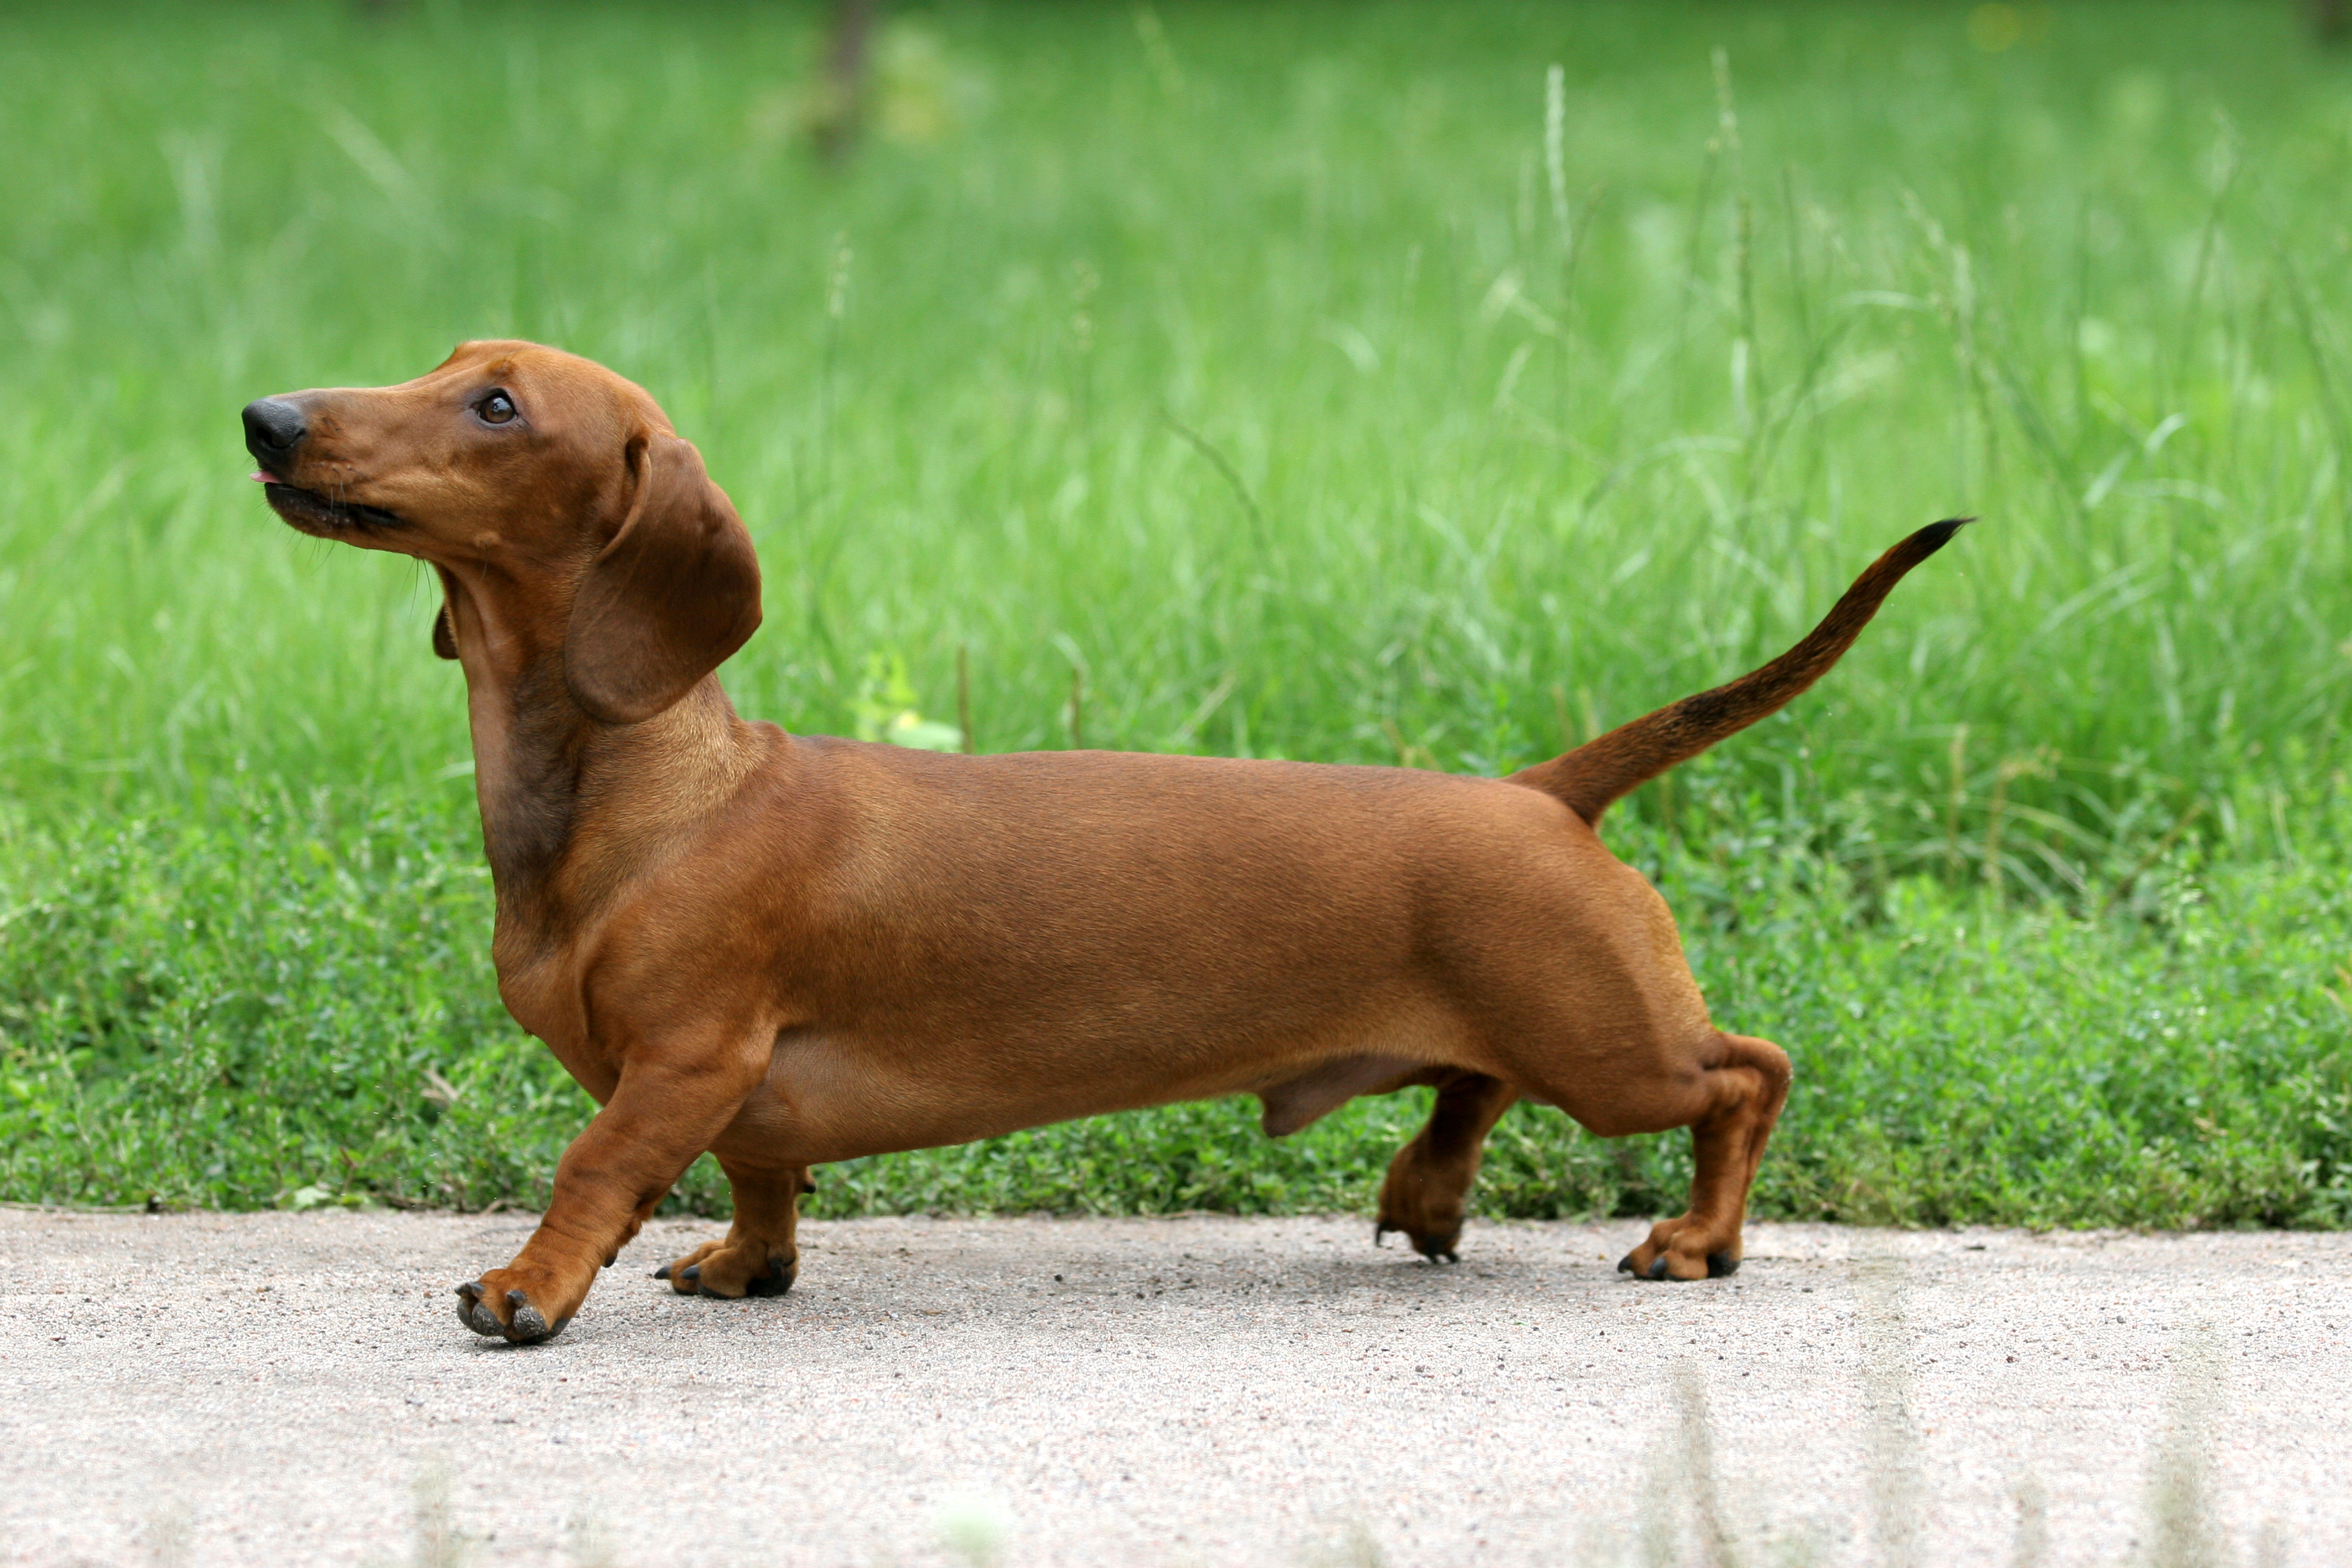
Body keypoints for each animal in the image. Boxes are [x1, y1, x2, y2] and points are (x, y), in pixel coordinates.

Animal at [238, 345, 1966, 1354]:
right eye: (444, 365)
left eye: (497, 404)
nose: (263, 414)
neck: (652, 788)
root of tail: (1538, 793)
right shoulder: (736, 1086)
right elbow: (762, 1172)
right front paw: (745, 1261)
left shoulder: (685, 1051)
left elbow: (596, 1164)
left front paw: (527, 1286)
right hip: (1546, 1024)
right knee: (1476, 1087)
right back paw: (1426, 1190)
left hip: (1607, 1043)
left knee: (1747, 1071)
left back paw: (1697, 1237)